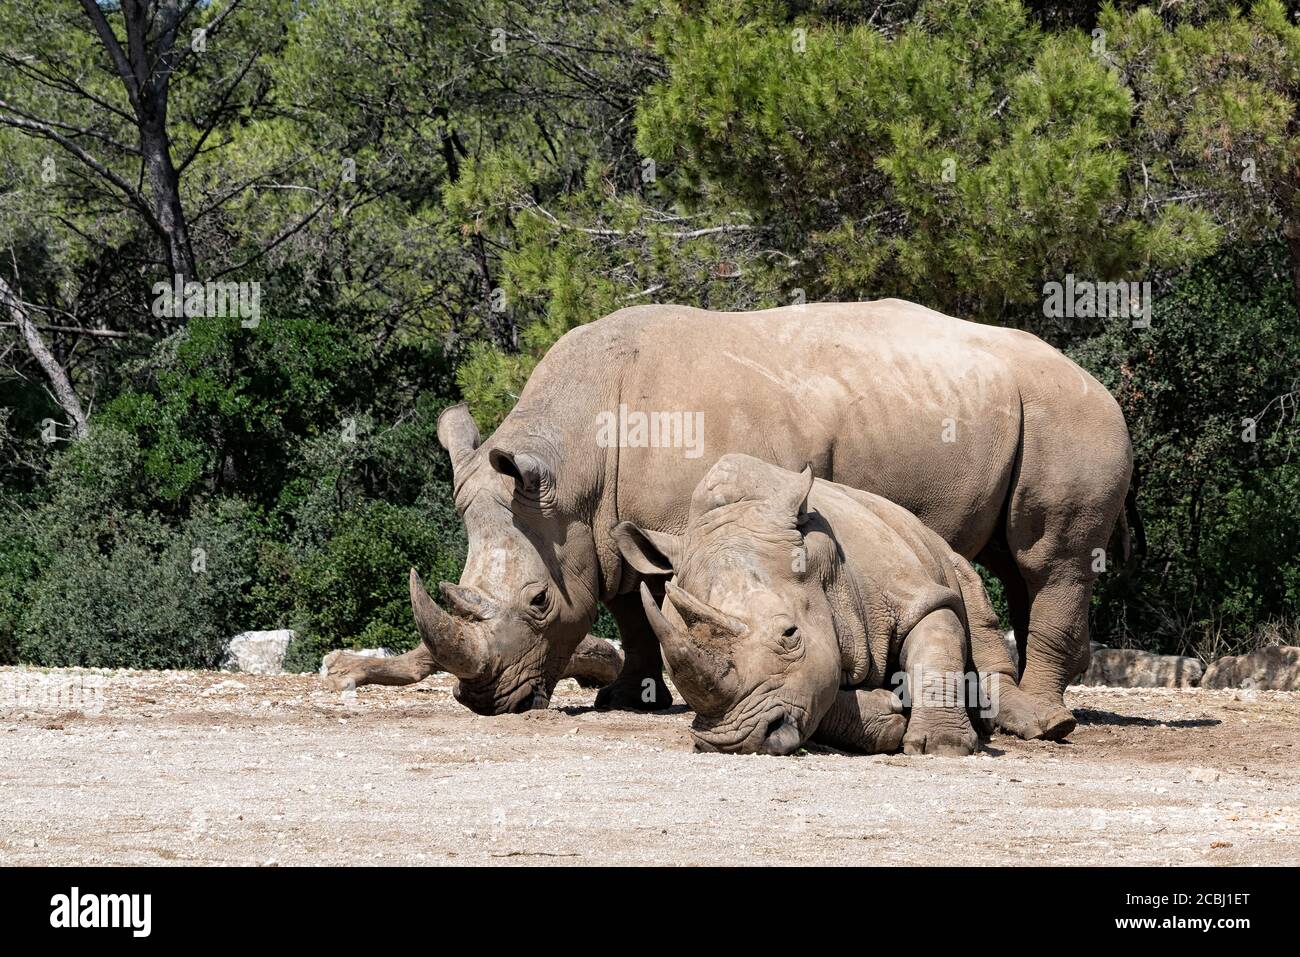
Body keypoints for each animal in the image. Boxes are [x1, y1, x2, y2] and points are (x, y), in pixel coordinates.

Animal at [614, 453, 1040, 755]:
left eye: (789, 634)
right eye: (670, 665)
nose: (732, 743)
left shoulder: (918, 597)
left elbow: (935, 649)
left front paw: (942, 745)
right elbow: (819, 688)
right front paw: (886, 714)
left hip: (937, 550)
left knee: (969, 590)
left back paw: (1037, 723)